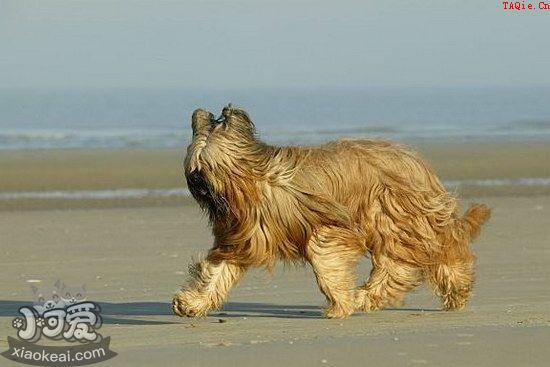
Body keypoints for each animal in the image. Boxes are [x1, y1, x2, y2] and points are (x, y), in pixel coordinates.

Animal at [172, 104, 492, 320]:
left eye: (206, 164)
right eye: (192, 165)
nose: (197, 182)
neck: (255, 181)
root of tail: (416, 161)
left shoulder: (329, 227)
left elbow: (324, 257)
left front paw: (340, 302)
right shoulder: (240, 240)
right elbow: (217, 272)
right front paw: (192, 303)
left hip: (393, 216)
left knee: (415, 258)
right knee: (410, 260)